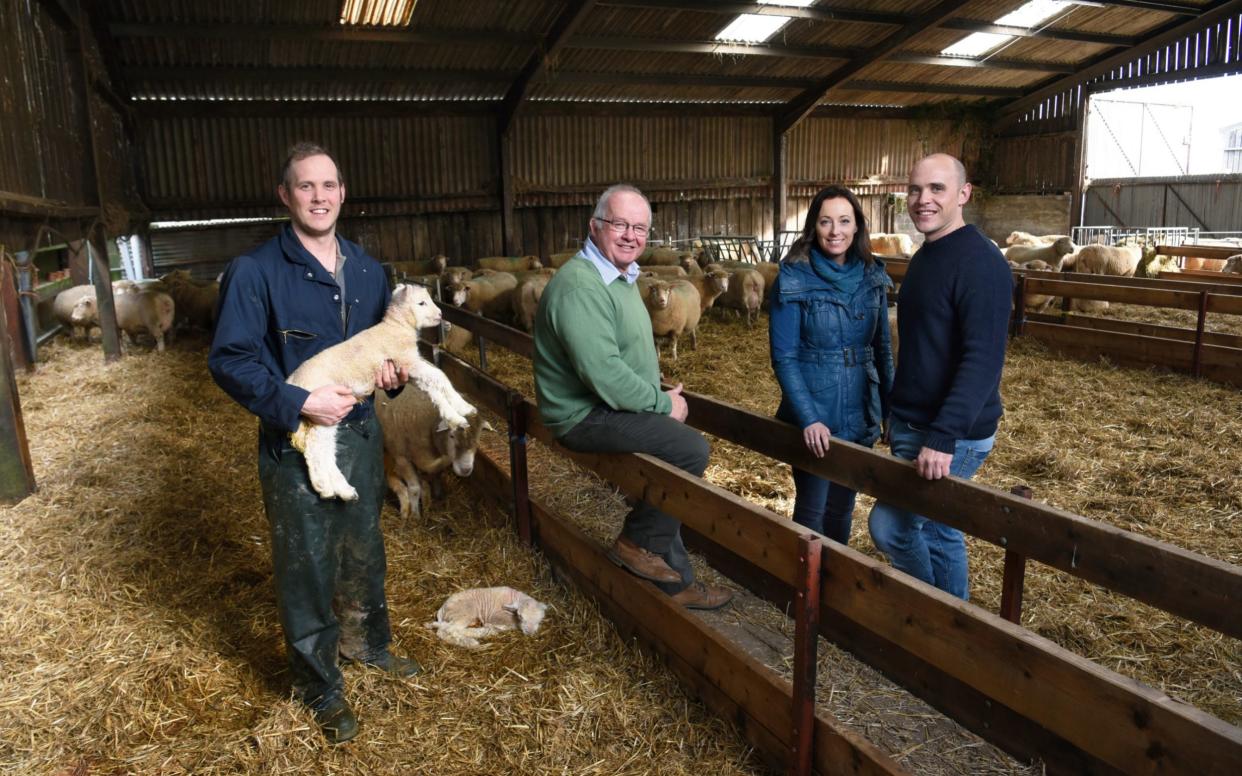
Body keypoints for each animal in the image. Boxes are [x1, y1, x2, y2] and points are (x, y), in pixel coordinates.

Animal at [285, 284, 474, 501]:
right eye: (421, 303)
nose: (440, 314)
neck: (396, 326)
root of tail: (292, 381)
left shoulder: (406, 371)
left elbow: (433, 388)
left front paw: (458, 412)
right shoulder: (405, 360)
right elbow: (439, 377)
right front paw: (461, 410)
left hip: (327, 414)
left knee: (322, 448)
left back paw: (340, 490)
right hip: (321, 406)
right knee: (315, 448)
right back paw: (325, 487)